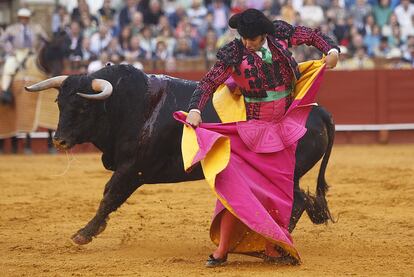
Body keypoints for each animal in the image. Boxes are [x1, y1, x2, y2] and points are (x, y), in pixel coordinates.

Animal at [25, 64, 334, 244]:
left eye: (84, 107)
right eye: (59, 102)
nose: (59, 140)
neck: (128, 105)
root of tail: (317, 110)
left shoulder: (133, 169)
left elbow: (110, 196)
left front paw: (84, 233)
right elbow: (109, 196)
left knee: (295, 202)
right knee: (299, 200)